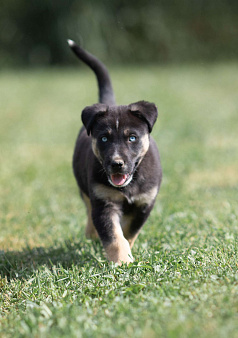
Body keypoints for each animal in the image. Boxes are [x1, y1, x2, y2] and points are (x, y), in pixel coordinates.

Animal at [68, 39, 163, 266]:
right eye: (104, 138)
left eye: (132, 138)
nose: (116, 163)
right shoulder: (103, 201)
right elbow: (113, 234)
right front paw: (122, 261)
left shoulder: (144, 204)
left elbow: (129, 232)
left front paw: (127, 253)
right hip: (85, 187)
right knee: (88, 209)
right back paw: (91, 234)